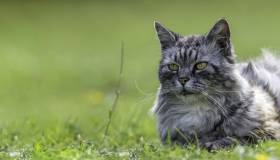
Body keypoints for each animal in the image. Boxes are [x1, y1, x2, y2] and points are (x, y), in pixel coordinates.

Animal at [152, 19, 280, 151]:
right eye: (173, 66)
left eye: (200, 65)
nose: (183, 79)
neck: (196, 110)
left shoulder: (269, 130)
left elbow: (240, 138)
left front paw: (212, 144)